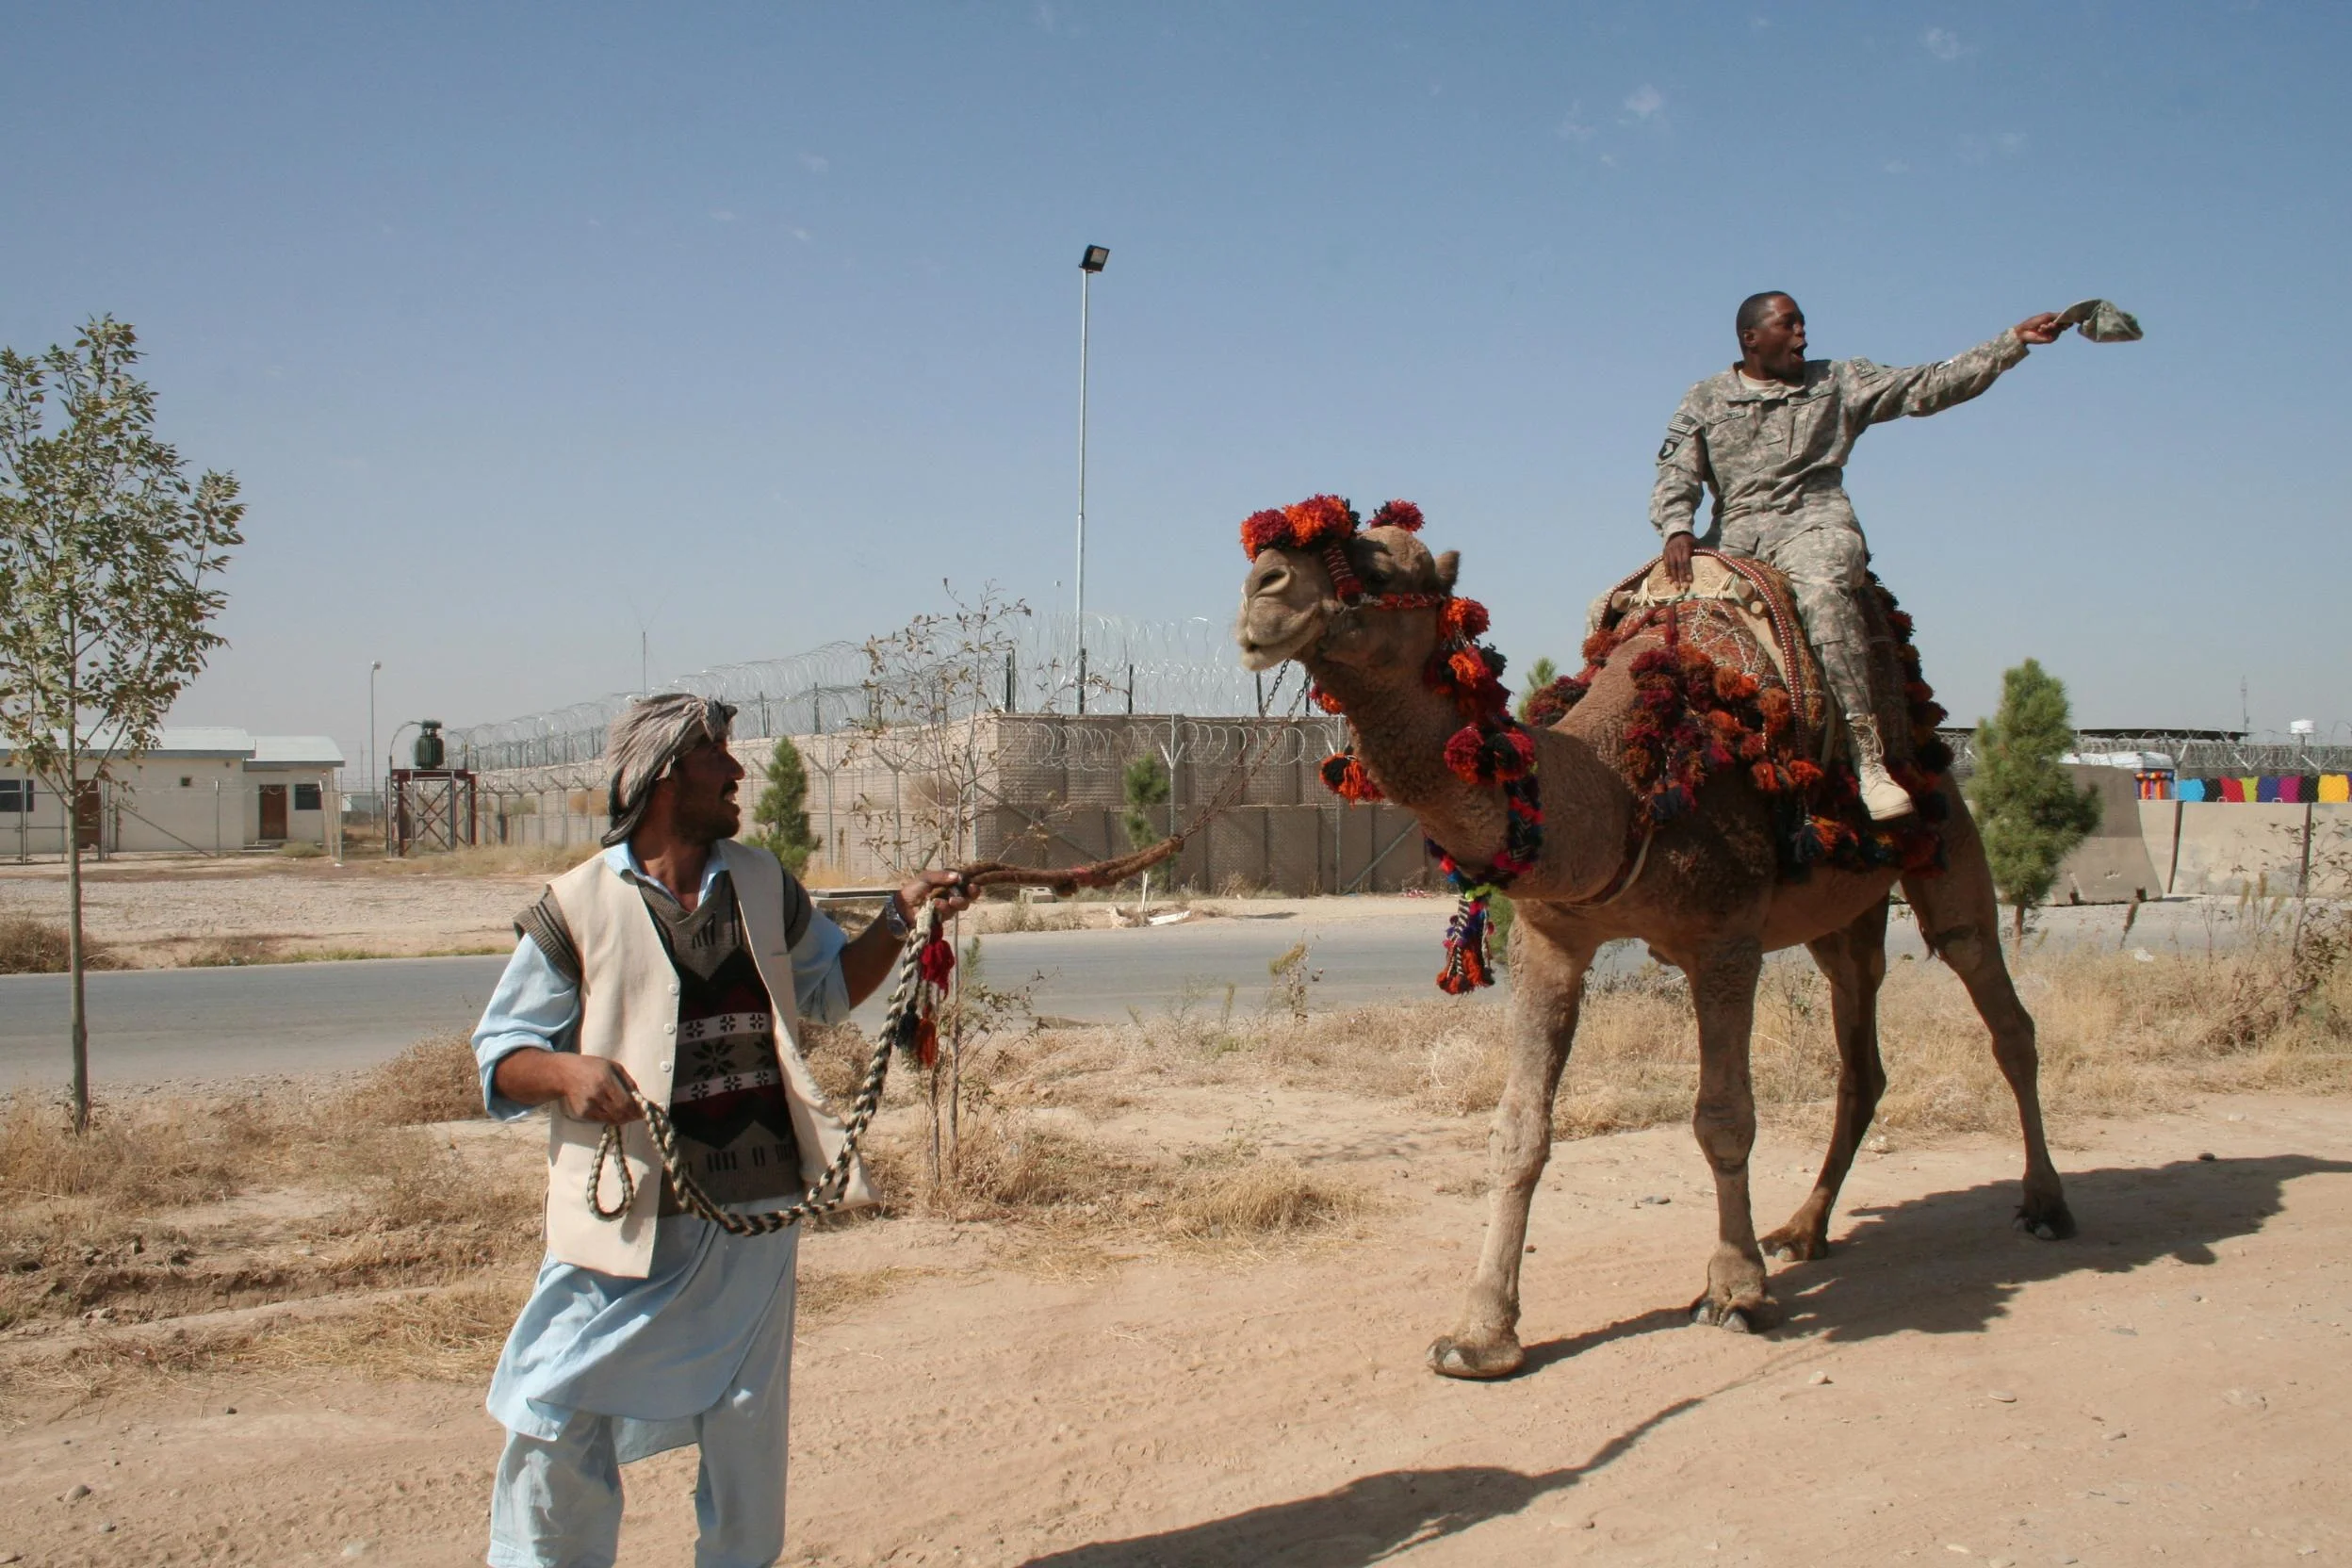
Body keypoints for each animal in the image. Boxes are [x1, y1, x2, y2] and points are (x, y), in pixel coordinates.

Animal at [1235, 514, 2073, 1380]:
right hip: (1844, 917)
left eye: (1381, 565)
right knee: (1861, 1054)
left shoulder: (1726, 940)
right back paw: (1804, 1230)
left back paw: (2045, 1204)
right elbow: (1519, 1129)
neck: (1621, 791)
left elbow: (1724, 1117)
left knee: (1999, 1007)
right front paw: (1480, 1335)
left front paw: (1736, 1291)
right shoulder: (1551, 938)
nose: (1263, 585)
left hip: (1947, 837)